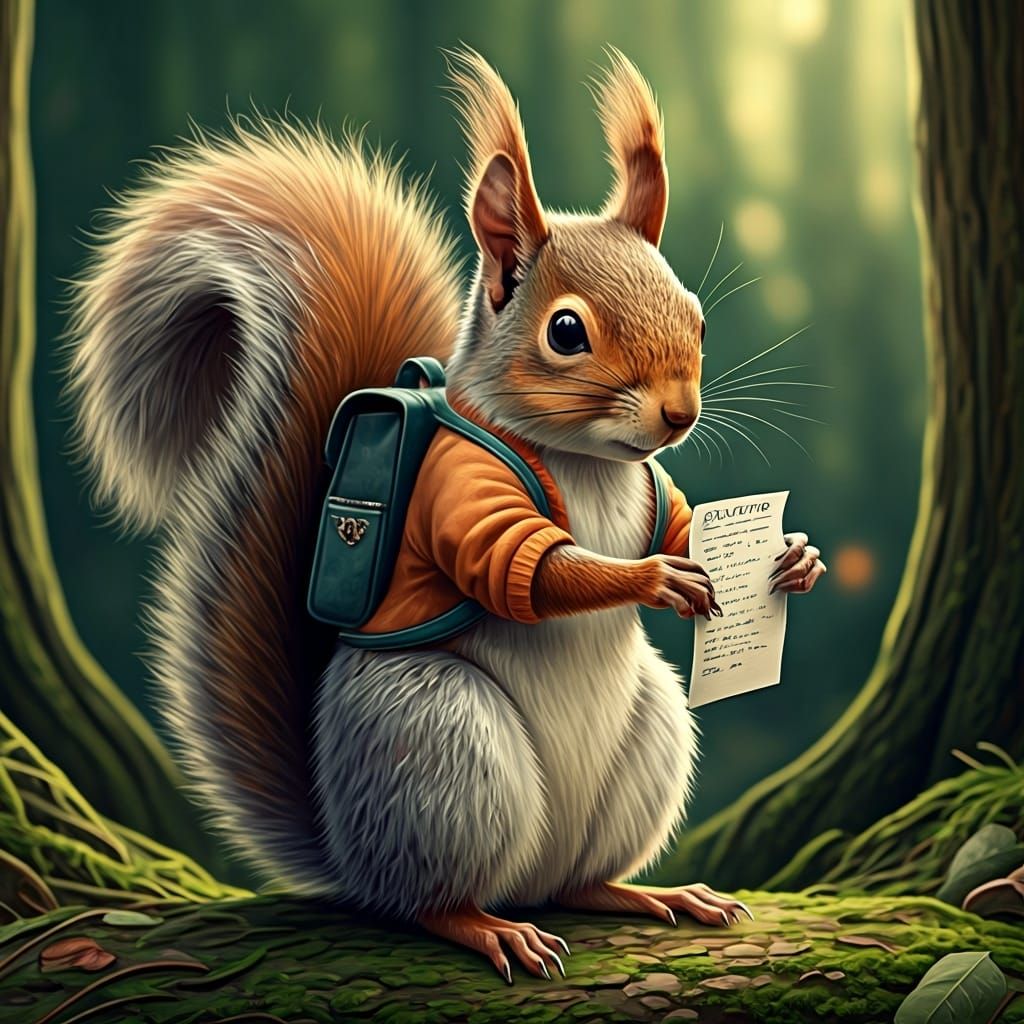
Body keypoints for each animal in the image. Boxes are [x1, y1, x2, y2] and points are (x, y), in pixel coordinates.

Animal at [66, 48, 825, 981]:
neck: (587, 462)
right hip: (441, 747)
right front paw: (655, 577)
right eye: (566, 332)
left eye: (699, 318)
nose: (678, 416)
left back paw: (649, 893)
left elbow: (680, 521)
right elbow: (521, 568)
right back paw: (488, 927)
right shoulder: (461, 492)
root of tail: (350, 856)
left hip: (647, 739)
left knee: (577, 881)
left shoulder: (658, 491)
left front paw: (794, 560)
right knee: (427, 901)